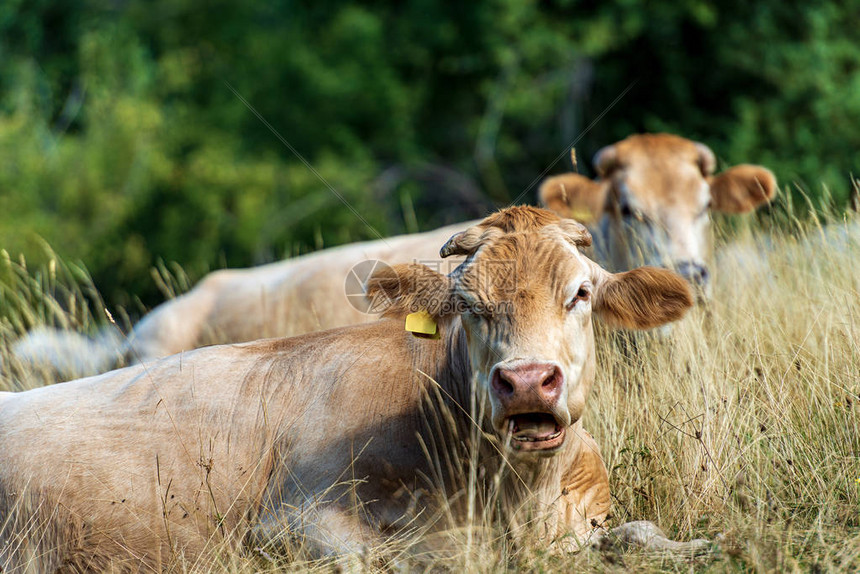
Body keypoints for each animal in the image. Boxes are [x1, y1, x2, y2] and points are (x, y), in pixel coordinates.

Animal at [0, 208, 704, 572]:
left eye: (581, 293)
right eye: (467, 305)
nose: (527, 379)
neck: (518, 499)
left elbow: (637, 532)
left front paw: (691, 545)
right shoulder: (290, 521)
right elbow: (401, 557)